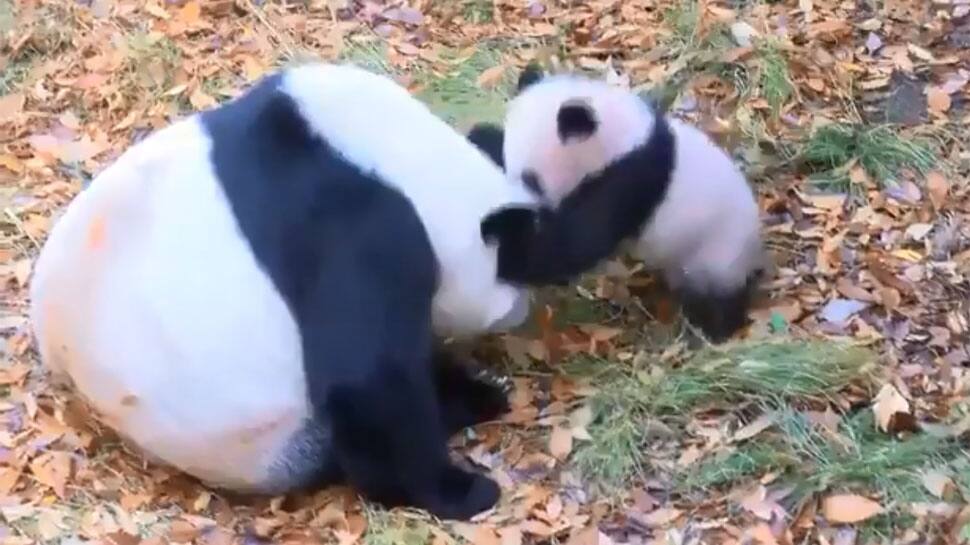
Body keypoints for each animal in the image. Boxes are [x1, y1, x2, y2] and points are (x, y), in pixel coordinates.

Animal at [30, 61, 540, 520]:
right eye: (513, 281)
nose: (521, 313)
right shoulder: (354, 229)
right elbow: (370, 378)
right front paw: (459, 490)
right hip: (262, 439)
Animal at [470, 66, 764, 342]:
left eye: (532, 181)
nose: (521, 205)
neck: (624, 137)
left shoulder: (630, 177)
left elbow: (578, 243)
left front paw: (503, 234)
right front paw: (482, 137)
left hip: (717, 251)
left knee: (718, 298)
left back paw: (714, 330)